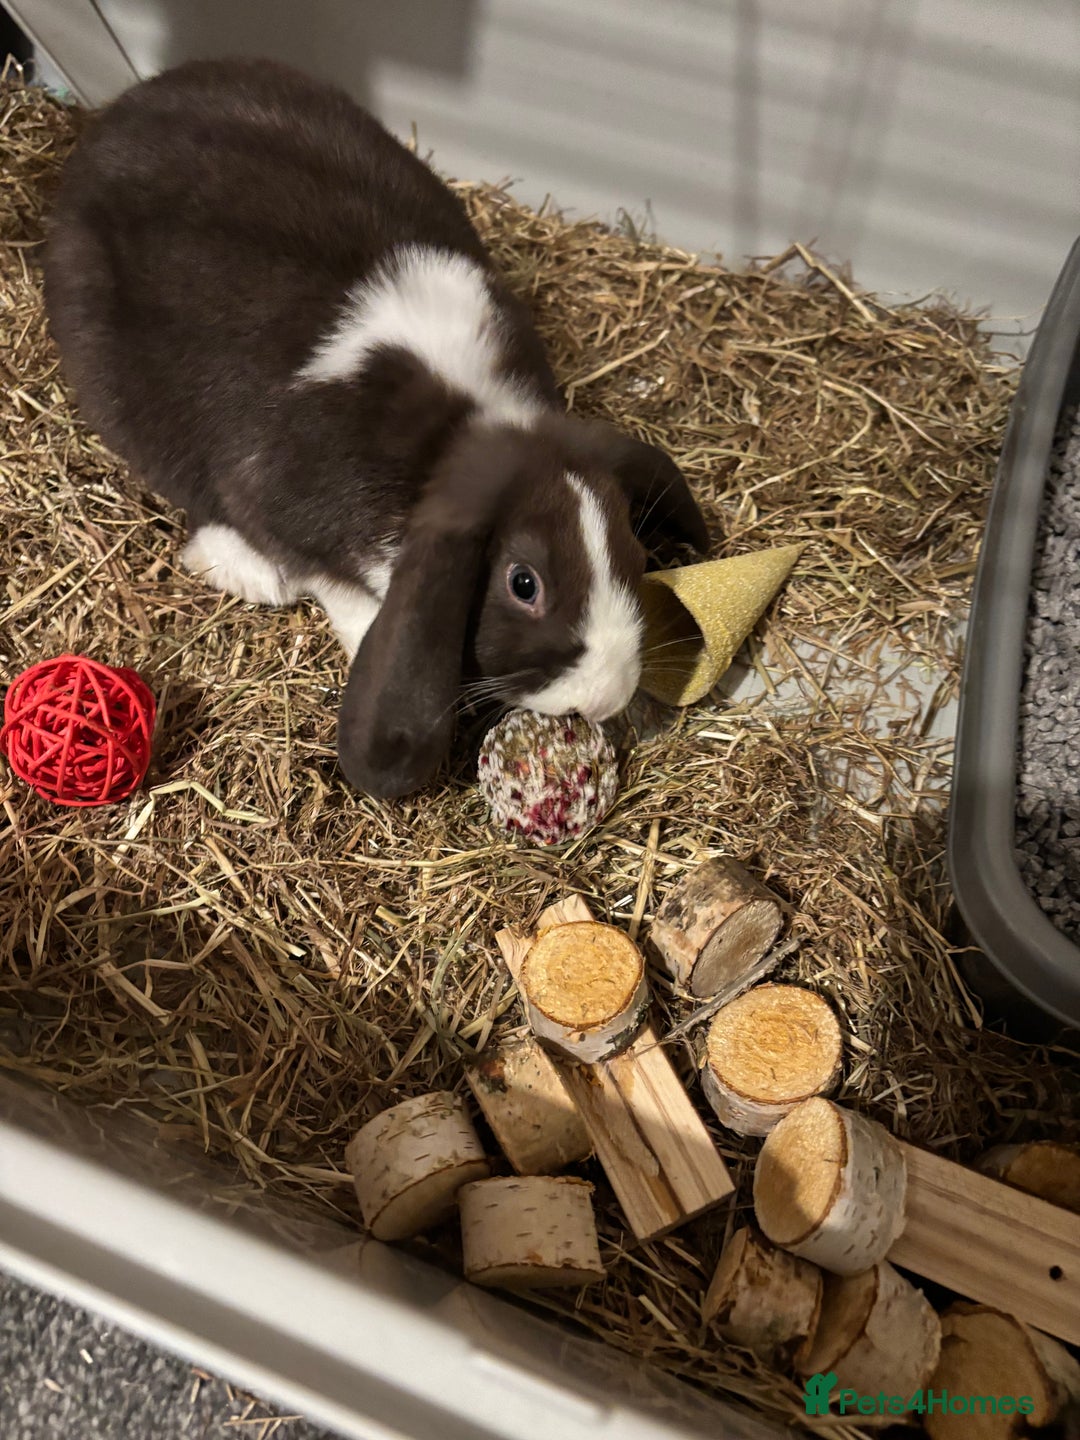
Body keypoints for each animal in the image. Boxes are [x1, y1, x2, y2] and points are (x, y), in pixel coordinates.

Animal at [42, 57, 709, 798]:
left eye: (636, 552)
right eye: (523, 583)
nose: (603, 698)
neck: (459, 427)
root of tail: (115, 117)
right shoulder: (279, 504)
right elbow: (328, 579)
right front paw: (356, 623)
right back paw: (244, 570)